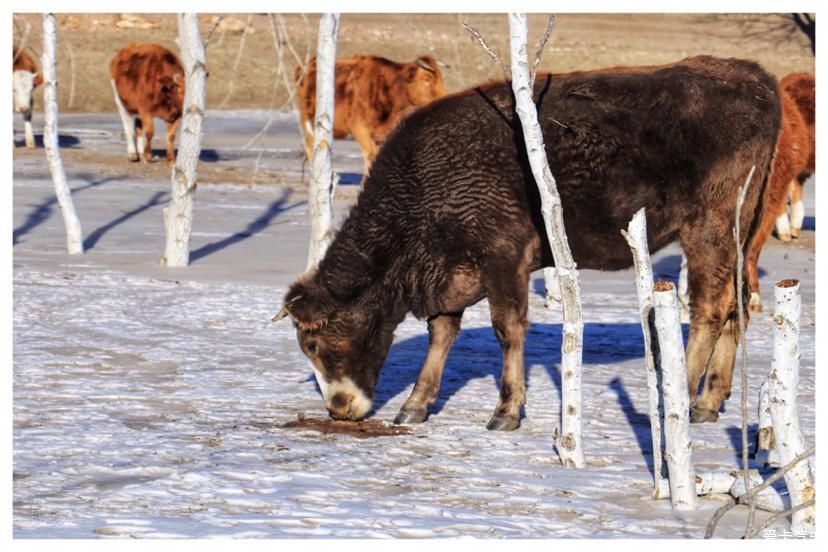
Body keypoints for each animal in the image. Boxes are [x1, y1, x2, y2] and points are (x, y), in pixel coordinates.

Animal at [298, 54, 446, 177]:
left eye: (441, 79)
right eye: (427, 79)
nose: (444, 98)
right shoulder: (358, 128)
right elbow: (370, 155)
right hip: (307, 120)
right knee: (310, 147)